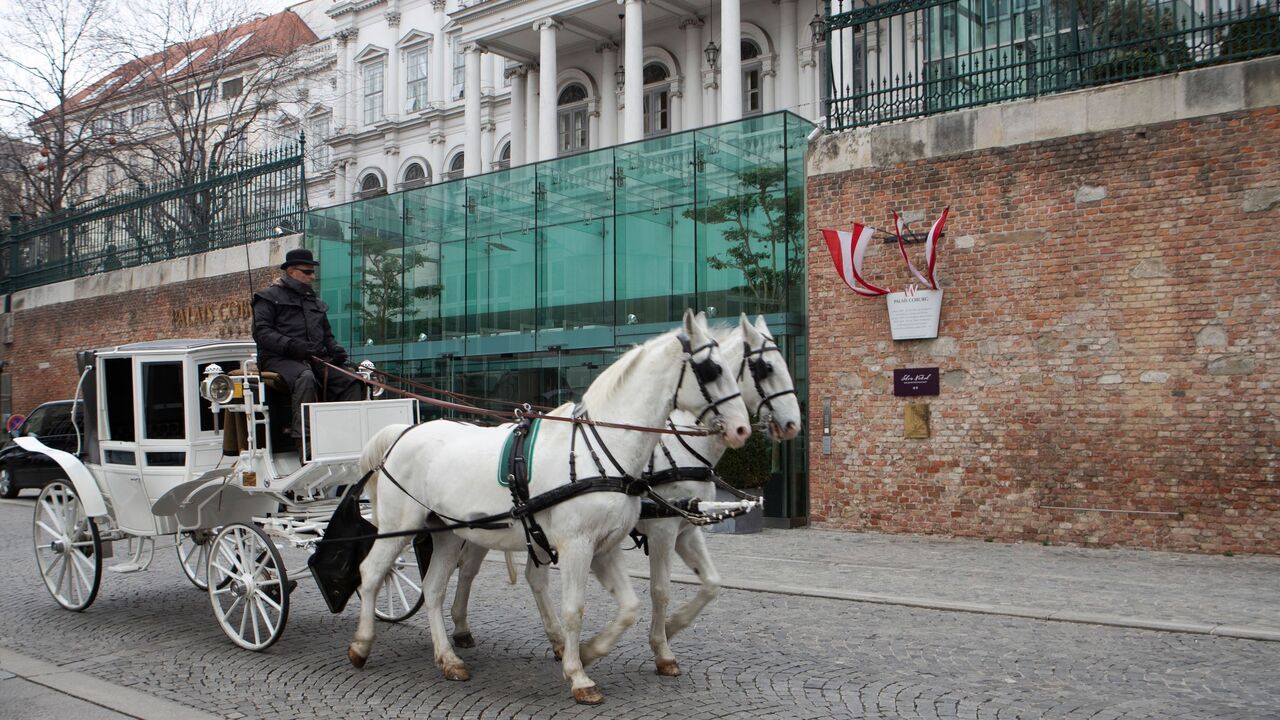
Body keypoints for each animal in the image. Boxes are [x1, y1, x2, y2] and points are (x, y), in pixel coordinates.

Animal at [348, 308, 747, 702]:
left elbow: (629, 607)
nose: (742, 429)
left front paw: (588, 651)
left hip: (448, 532)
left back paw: (449, 659)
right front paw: (579, 675)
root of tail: (402, 433)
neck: (602, 449)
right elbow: (574, 609)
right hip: (401, 525)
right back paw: (362, 645)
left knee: (434, 589)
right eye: (713, 369)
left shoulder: (605, 547)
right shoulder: (579, 545)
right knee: (372, 572)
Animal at [450, 312, 798, 671]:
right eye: (765, 368)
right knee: (472, 569)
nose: (792, 424)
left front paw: (672, 627)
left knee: (504, 573)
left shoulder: (686, 527)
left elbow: (712, 583)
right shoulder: (661, 530)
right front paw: (661, 648)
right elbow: (660, 589)